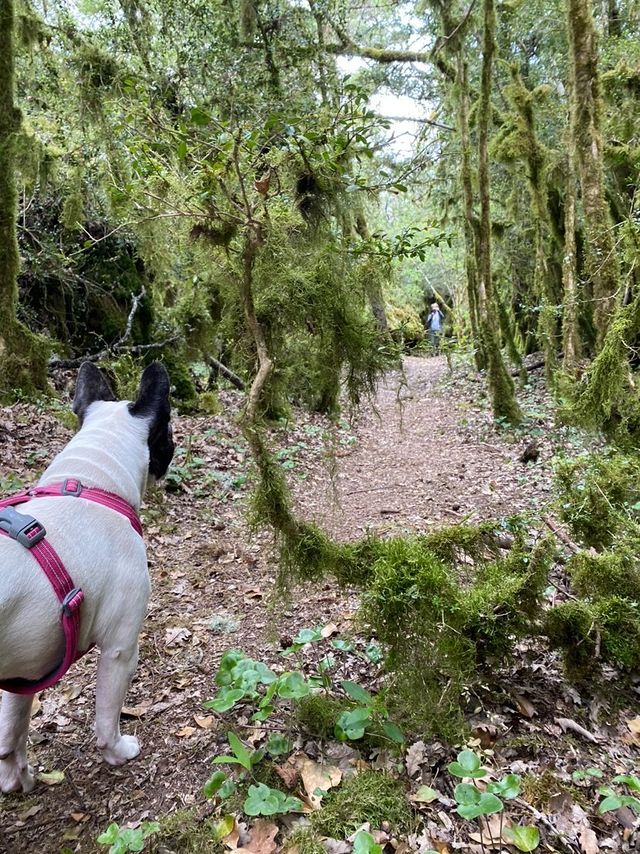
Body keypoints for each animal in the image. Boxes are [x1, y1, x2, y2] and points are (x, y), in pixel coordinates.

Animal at [0, 362, 175, 796]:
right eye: (168, 432)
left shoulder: (22, 675)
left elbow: (12, 732)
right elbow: (107, 716)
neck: (94, 480)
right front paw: (117, 751)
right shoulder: (120, 648)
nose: (175, 447)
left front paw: (16, 777)